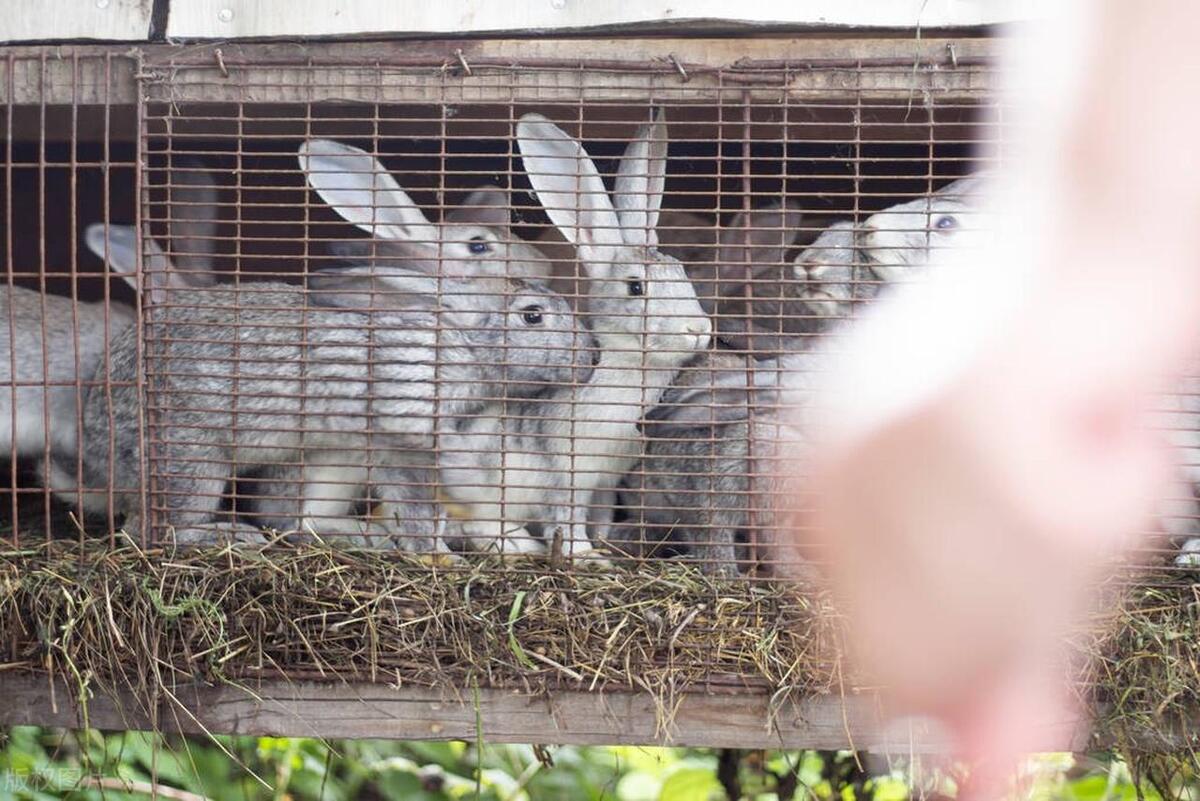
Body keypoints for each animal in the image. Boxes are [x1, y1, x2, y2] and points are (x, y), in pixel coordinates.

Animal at [432, 109, 710, 556]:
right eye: (636, 287)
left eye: (683, 274)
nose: (699, 328)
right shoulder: (566, 475)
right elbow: (566, 517)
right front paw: (583, 556)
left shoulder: (606, 482)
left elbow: (600, 515)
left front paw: (604, 544)